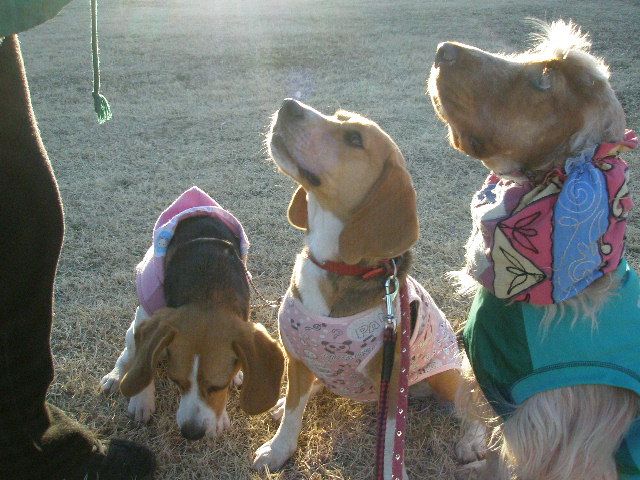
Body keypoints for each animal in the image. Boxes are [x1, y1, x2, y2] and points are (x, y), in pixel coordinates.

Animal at [101, 186, 285, 440]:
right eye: (176, 381)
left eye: (218, 386)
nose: (191, 433)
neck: (208, 290)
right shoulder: (149, 315)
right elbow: (143, 357)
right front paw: (141, 399)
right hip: (133, 328)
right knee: (127, 354)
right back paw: (115, 377)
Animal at [252, 99, 486, 478]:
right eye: (336, 116)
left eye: (354, 138)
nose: (288, 105)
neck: (333, 265)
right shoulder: (297, 355)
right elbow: (292, 413)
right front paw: (278, 449)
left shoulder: (390, 382)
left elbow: (391, 440)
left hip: (445, 374)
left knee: (471, 401)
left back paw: (472, 440)